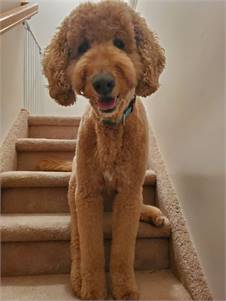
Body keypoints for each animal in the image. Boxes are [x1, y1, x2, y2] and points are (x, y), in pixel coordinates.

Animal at [42, 0, 166, 298]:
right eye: (82, 47)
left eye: (120, 43)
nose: (102, 82)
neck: (111, 129)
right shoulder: (87, 195)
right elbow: (92, 250)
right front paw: (94, 289)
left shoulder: (129, 192)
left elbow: (123, 249)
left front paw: (125, 289)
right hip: (74, 189)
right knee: (76, 240)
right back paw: (78, 278)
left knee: (140, 206)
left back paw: (154, 214)